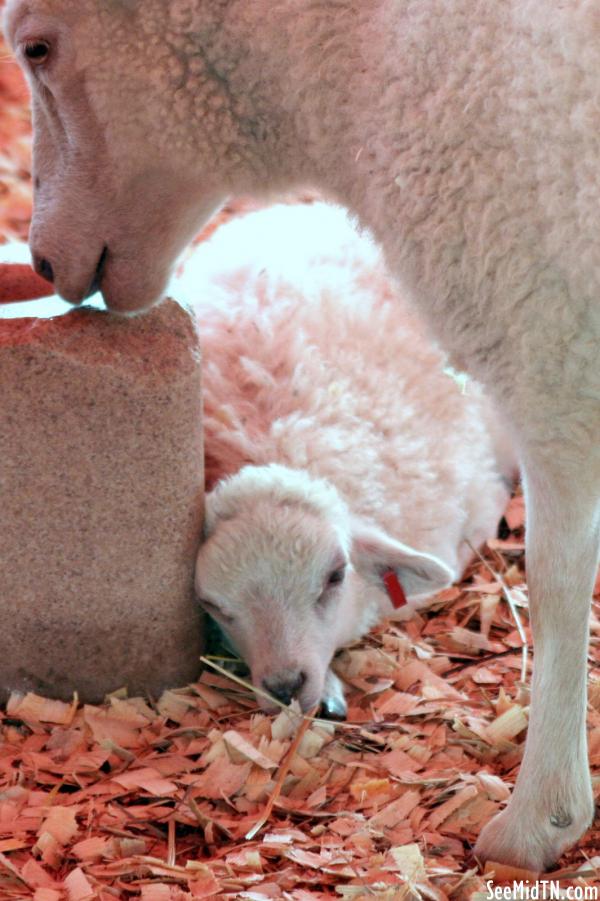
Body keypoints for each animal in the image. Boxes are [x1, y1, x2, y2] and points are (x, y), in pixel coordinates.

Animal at [4, 0, 600, 872]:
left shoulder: (546, 333)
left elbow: (558, 578)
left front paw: (538, 820)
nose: (44, 262)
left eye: (37, 47)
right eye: (212, 603)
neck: (359, 45)